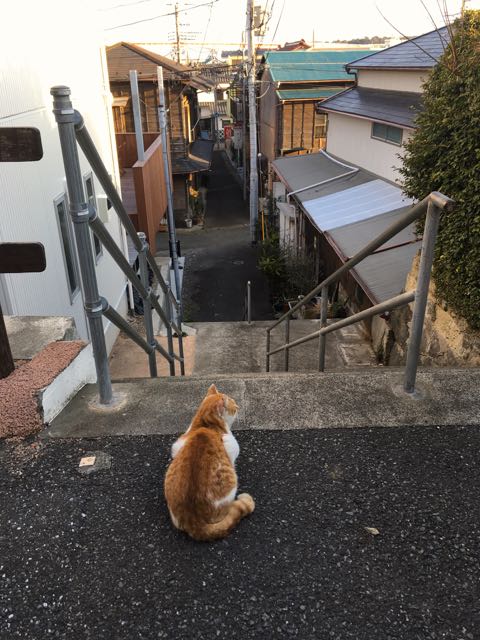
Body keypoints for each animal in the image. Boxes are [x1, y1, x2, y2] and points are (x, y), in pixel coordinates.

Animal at [164, 384, 255, 540]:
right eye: (233, 405)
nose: (238, 406)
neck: (205, 425)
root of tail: (193, 520)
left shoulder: (176, 446)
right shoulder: (231, 447)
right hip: (232, 484)